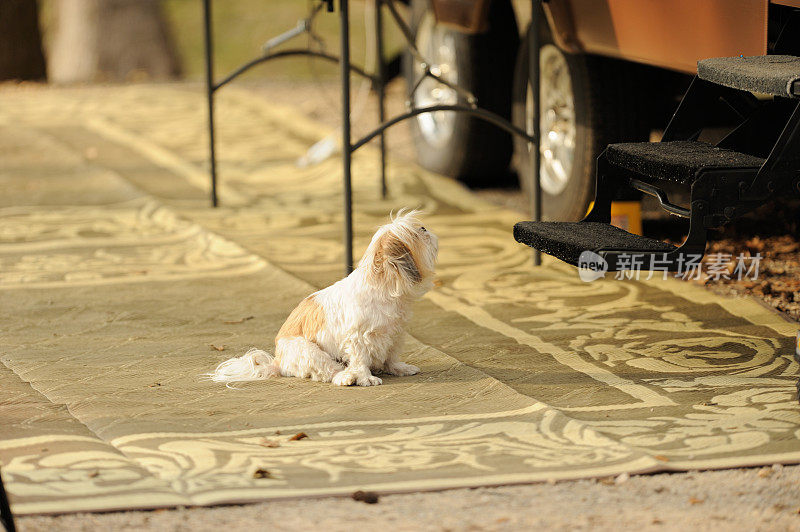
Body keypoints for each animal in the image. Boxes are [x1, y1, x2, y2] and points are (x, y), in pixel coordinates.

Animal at [209, 210, 438, 388]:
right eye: (416, 234)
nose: (425, 228)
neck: (382, 287)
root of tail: (278, 362)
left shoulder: (395, 334)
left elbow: (391, 356)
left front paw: (398, 368)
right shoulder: (358, 338)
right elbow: (360, 360)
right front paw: (366, 378)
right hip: (309, 351)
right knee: (328, 371)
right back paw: (345, 377)